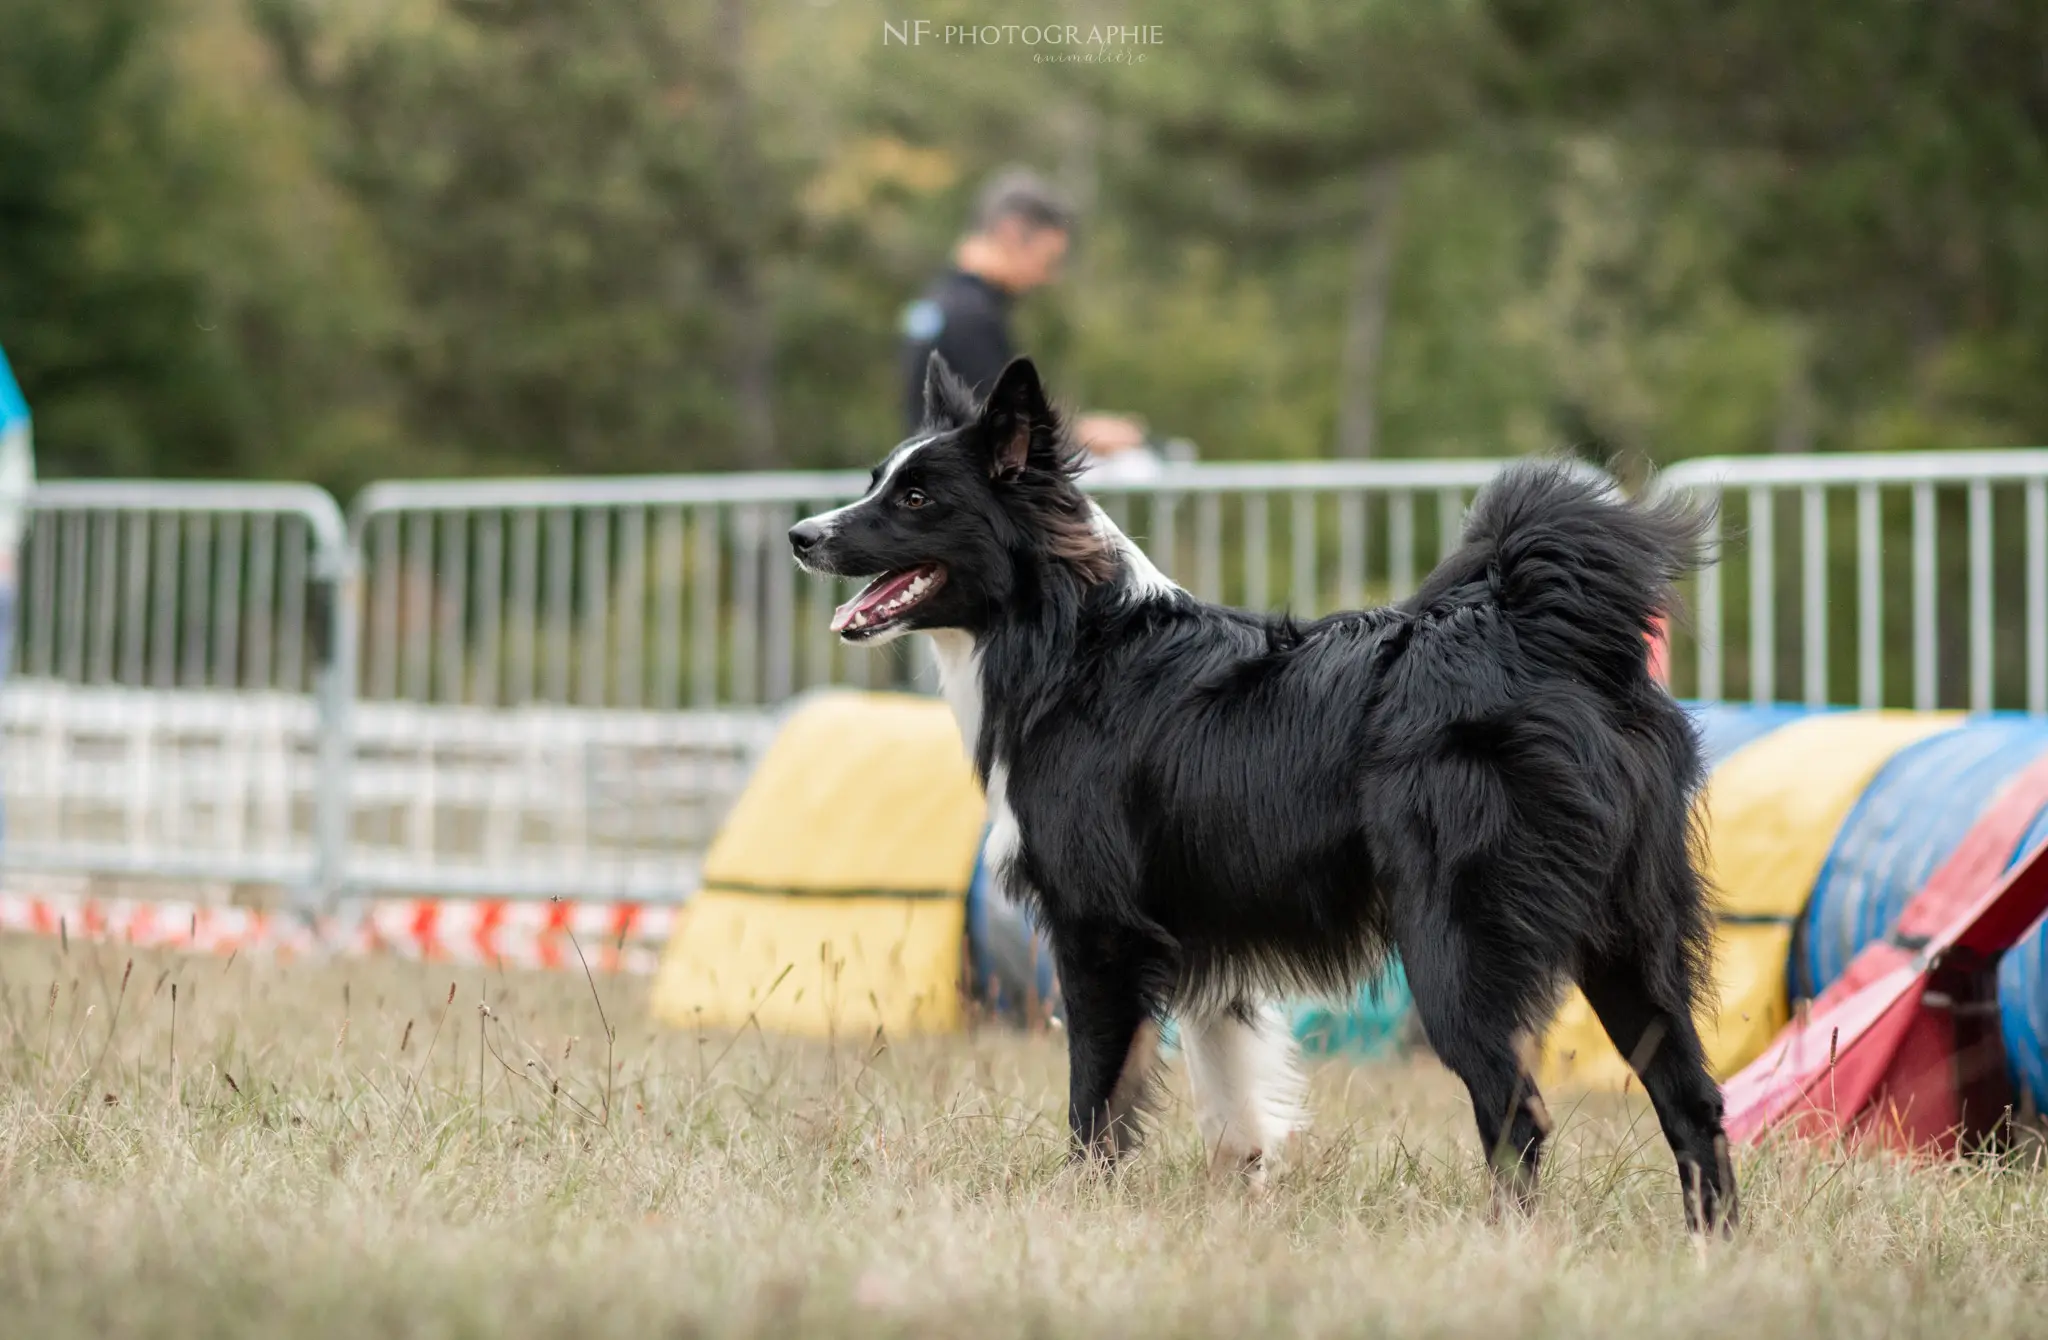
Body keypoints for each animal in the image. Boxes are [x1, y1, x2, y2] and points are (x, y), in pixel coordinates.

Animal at [790, 354, 1736, 1229]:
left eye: (917, 498)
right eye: (877, 483)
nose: (801, 534)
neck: (1069, 641)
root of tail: (1534, 633)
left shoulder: (1099, 933)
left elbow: (1096, 1099)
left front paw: (1077, 1204)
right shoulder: (1203, 937)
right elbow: (1231, 1101)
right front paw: (1236, 1201)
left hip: (1457, 946)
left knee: (1520, 1112)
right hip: (1628, 938)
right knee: (1692, 1100)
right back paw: (1709, 1248)